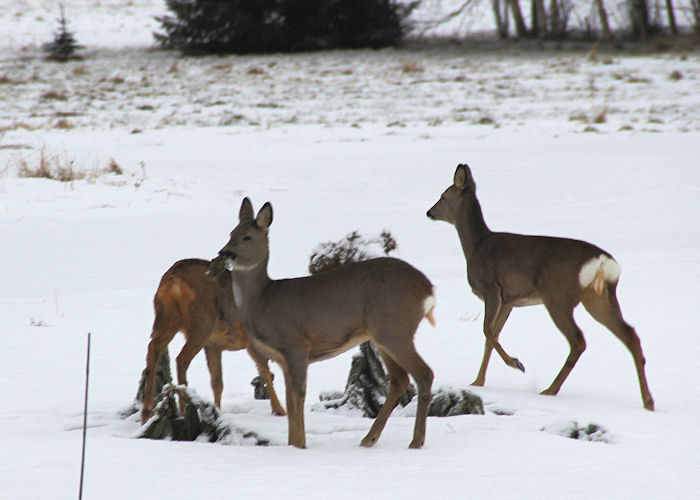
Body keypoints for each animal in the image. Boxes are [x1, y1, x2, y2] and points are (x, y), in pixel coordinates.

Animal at [141, 258, 286, 426]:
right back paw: (183, 409)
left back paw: (147, 411)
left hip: (166, 318)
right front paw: (279, 410)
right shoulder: (249, 341)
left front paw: (217, 411)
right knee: (181, 359)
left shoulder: (213, 344)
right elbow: (265, 371)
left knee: (153, 348)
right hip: (201, 324)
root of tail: (173, 280)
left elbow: (217, 382)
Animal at [205, 199, 434, 450]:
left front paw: (299, 445)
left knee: (424, 374)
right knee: (399, 380)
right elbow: (289, 399)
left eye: (247, 236)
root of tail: (428, 289)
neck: (263, 300)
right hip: (382, 336)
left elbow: (299, 396)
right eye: (231, 233)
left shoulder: (296, 345)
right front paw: (293, 443)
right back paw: (369, 439)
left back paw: (416, 441)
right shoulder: (282, 359)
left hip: (394, 329)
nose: (224, 253)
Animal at [426, 164, 656, 410]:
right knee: (631, 335)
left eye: (443, 196)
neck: (476, 247)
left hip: (558, 297)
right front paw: (478, 382)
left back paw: (550, 390)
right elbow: (492, 336)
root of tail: (603, 260)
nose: (429, 212)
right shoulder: (509, 300)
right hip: (599, 298)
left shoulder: (492, 289)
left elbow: (487, 331)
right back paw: (648, 401)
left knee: (578, 340)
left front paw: (516, 363)